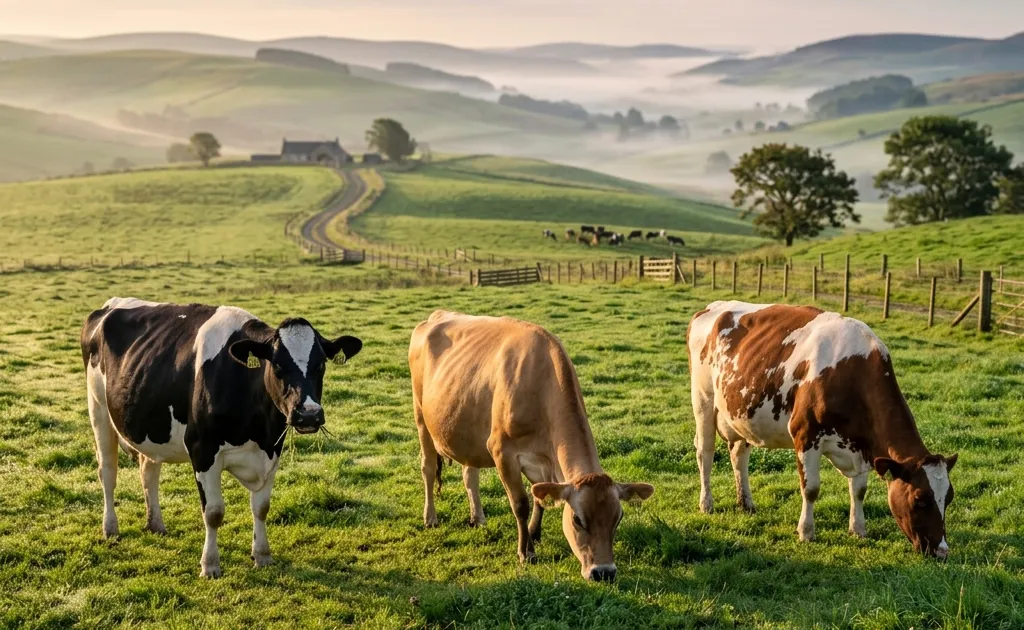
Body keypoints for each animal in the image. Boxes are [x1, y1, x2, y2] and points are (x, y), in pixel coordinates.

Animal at [81, 297, 363, 577]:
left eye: (320, 365)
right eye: (278, 365)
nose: (309, 414)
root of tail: (109, 305)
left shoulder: (272, 450)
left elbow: (261, 507)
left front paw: (262, 555)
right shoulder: (203, 451)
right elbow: (214, 512)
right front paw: (210, 565)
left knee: (148, 471)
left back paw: (156, 524)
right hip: (98, 409)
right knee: (107, 472)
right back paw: (110, 528)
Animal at [409, 311, 654, 581]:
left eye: (618, 518)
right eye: (577, 519)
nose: (603, 572)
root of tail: (437, 315)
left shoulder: (543, 462)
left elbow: (540, 496)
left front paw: (534, 533)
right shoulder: (502, 452)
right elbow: (521, 504)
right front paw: (526, 552)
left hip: (466, 431)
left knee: (469, 474)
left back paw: (478, 517)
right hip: (421, 417)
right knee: (428, 469)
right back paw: (430, 517)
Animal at [687, 301, 958, 558]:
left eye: (949, 497)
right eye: (919, 498)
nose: (941, 551)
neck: (852, 374)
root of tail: (712, 307)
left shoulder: (863, 447)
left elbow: (859, 490)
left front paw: (858, 529)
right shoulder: (806, 435)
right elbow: (811, 489)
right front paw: (806, 532)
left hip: (740, 413)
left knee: (738, 455)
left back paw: (746, 503)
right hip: (703, 400)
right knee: (705, 453)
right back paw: (706, 503)